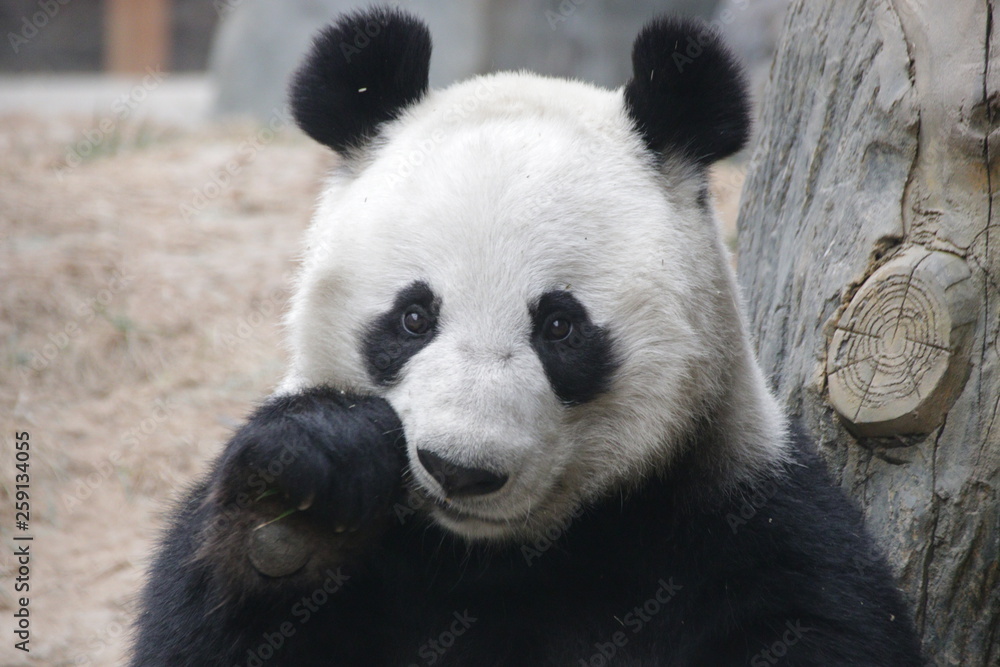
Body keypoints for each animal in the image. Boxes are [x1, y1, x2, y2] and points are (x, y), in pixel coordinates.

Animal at [131, 7, 925, 666]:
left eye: (559, 325)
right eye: (414, 317)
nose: (459, 469)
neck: (494, 555)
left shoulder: (739, 523)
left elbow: (821, 620)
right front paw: (296, 511)